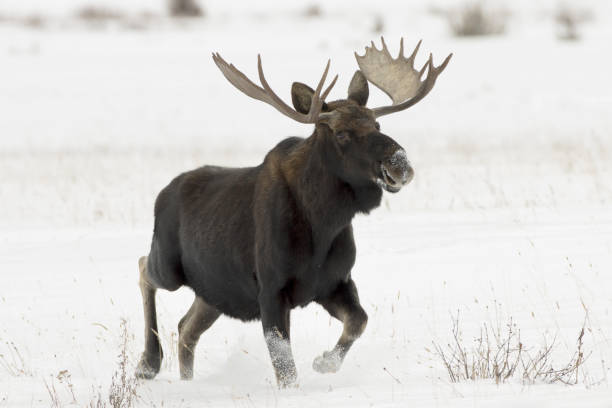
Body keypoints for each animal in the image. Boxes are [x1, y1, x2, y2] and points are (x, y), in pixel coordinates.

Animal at [137, 37, 454, 386]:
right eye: (341, 133)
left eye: (377, 123)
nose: (400, 165)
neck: (324, 222)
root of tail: (162, 195)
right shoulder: (270, 289)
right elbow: (285, 365)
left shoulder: (334, 282)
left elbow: (359, 321)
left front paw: (324, 362)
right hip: (169, 266)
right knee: (143, 268)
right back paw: (147, 364)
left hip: (215, 290)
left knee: (186, 328)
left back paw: (186, 379)